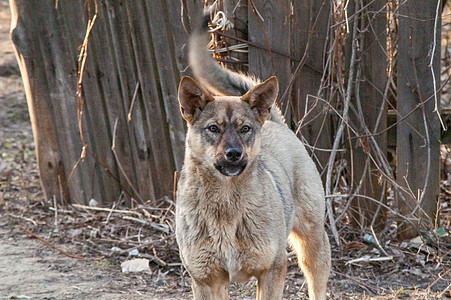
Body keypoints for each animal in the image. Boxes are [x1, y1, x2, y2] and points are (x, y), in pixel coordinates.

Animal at [175, 12, 330, 300]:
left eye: (245, 129)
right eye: (213, 128)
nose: (234, 154)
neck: (225, 207)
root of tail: (274, 122)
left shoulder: (272, 270)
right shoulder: (207, 280)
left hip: (311, 244)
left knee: (317, 284)